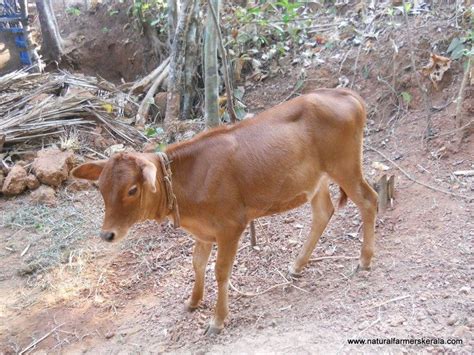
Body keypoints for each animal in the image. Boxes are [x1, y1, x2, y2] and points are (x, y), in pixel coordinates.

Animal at [72, 87, 378, 336]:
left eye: (132, 190)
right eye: (100, 188)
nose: (107, 234)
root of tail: (345, 93)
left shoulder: (232, 226)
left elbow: (220, 271)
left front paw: (217, 320)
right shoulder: (204, 231)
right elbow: (197, 264)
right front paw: (193, 301)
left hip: (344, 165)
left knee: (369, 200)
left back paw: (364, 260)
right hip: (316, 179)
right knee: (323, 211)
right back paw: (297, 265)